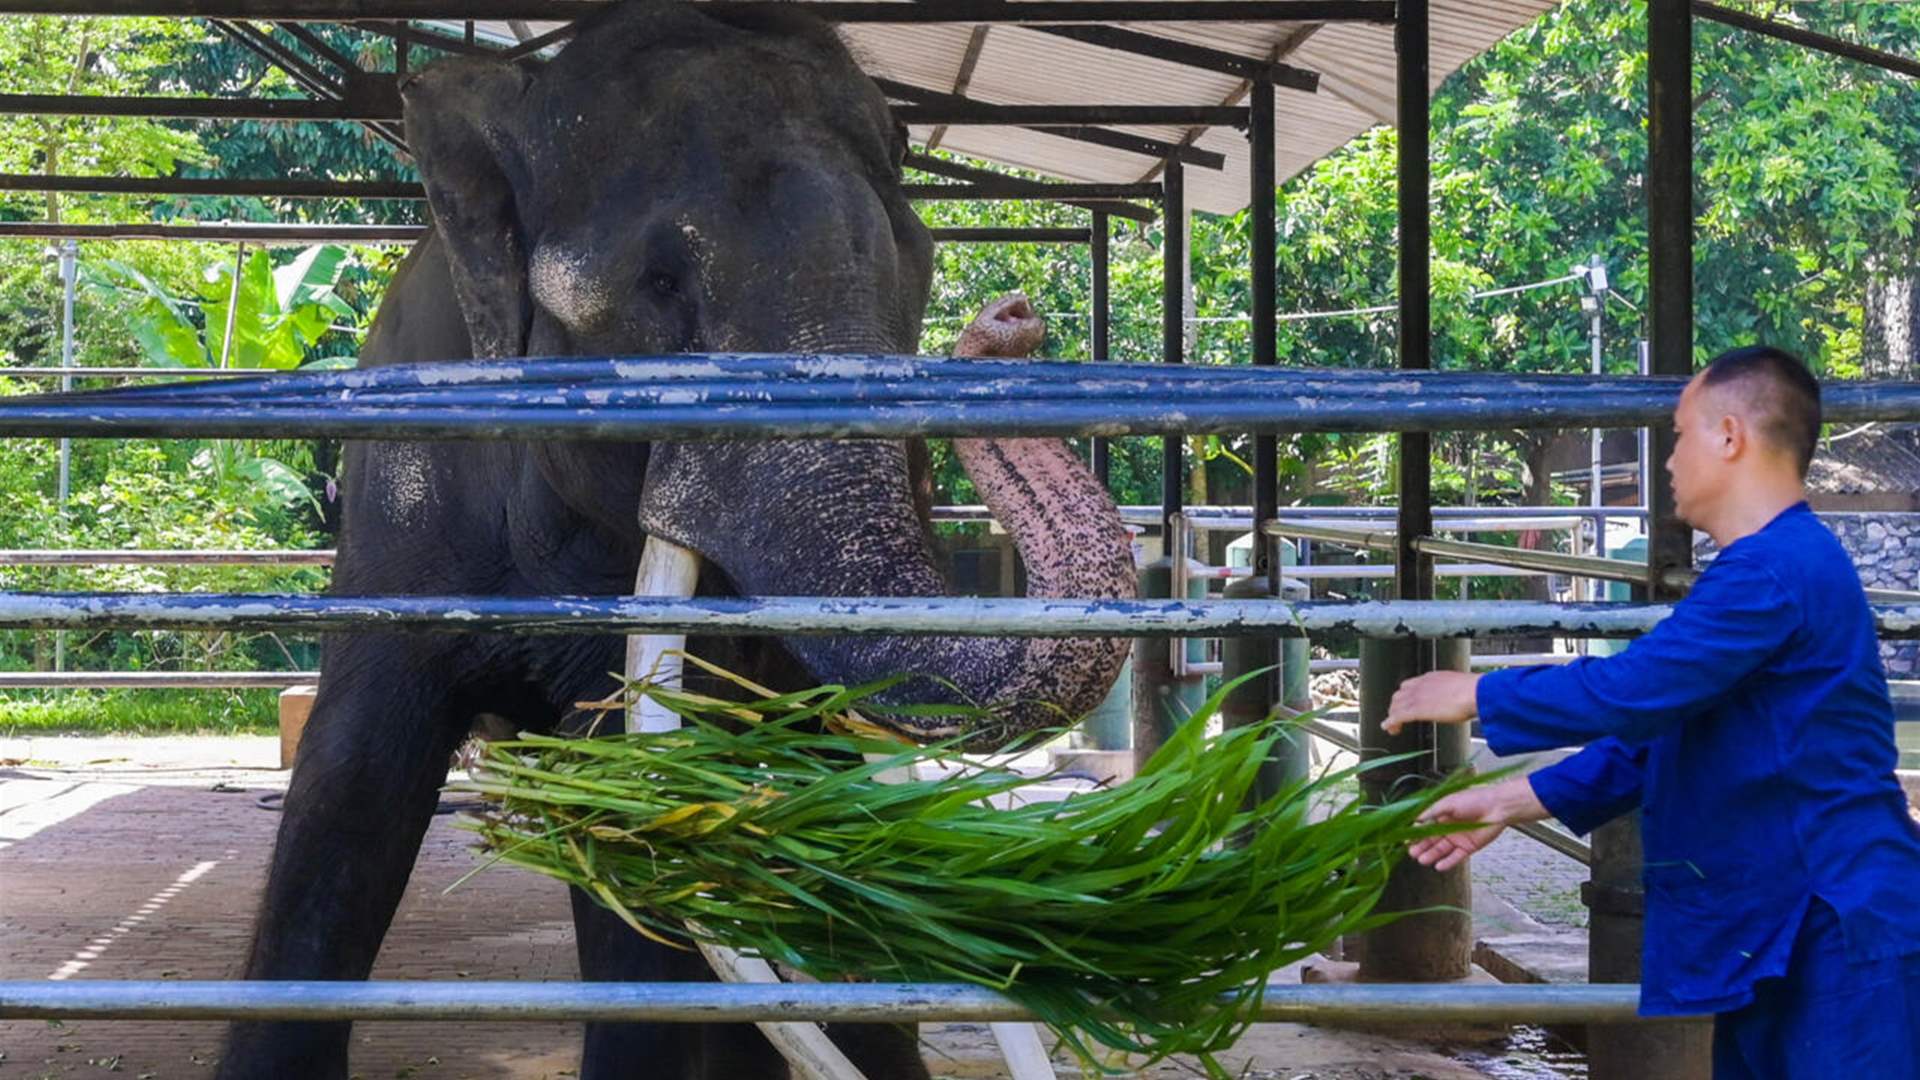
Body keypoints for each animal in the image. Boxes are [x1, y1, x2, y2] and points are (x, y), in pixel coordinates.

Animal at [217, 3, 1135, 1078]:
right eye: (659, 283)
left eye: (914, 271)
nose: (1008, 322)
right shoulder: (398, 508)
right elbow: (350, 784)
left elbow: (640, 807)